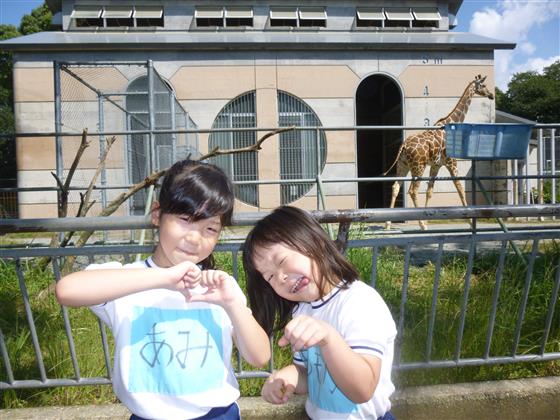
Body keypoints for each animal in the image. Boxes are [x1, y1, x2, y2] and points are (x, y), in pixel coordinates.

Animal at [384, 74, 494, 230]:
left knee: (395, 187)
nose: (491, 95)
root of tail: (404, 145)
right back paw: (420, 225)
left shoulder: (436, 165)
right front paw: (469, 220)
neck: (450, 123)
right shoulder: (452, 162)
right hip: (418, 167)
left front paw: (427, 219)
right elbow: (460, 188)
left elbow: (430, 192)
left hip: (403, 165)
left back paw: (388, 224)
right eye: (484, 85)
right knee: (413, 190)